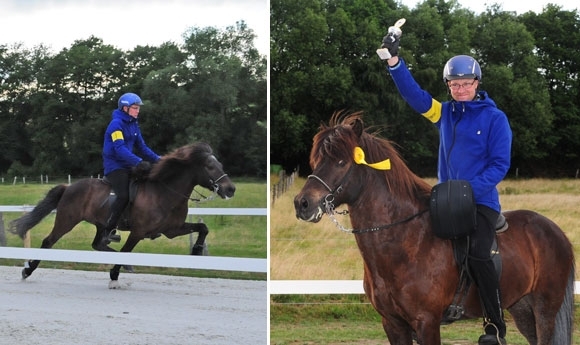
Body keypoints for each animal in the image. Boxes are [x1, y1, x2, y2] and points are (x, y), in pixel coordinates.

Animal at [10, 141, 234, 286]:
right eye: (210, 166)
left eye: (220, 165)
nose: (230, 189)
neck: (164, 192)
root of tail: (69, 187)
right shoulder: (138, 232)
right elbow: (127, 250)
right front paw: (114, 276)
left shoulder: (172, 229)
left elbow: (203, 227)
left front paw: (196, 250)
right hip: (66, 221)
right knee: (48, 242)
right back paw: (28, 270)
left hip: (102, 224)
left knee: (98, 244)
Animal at [294, 111, 576, 342]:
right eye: (316, 159)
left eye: (342, 162)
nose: (303, 203)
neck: (406, 242)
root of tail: (555, 231)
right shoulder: (393, 324)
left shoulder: (426, 322)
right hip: (522, 309)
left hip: (544, 311)